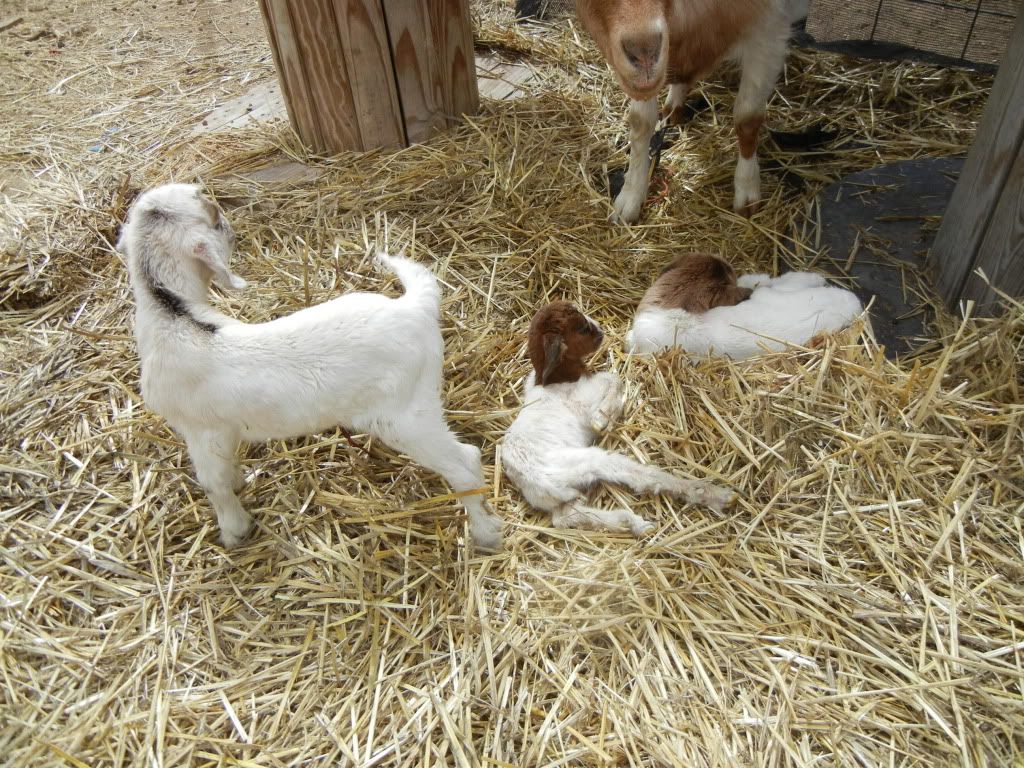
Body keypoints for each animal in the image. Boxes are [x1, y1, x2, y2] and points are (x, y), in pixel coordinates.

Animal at [119, 183, 503, 551]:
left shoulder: (200, 430)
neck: (174, 318)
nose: (232, 231)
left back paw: (486, 534)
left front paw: (234, 531)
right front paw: (240, 485)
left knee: (465, 462)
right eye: (214, 218)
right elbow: (227, 472)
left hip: (405, 413)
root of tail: (413, 306)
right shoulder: (223, 431)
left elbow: (214, 484)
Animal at [502, 301, 735, 535]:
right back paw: (715, 494)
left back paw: (631, 523)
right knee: (641, 476)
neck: (557, 378)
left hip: (564, 493)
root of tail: (531, 482)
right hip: (584, 462)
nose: (601, 332)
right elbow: (613, 379)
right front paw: (602, 419)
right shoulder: (584, 400)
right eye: (582, 329)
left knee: (564, 517)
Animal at [575, 0, 807, 222]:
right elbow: (641, 122)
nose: (644, 54)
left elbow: (747, 118)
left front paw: (747, 189)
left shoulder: (769, 32)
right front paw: (631, 195)